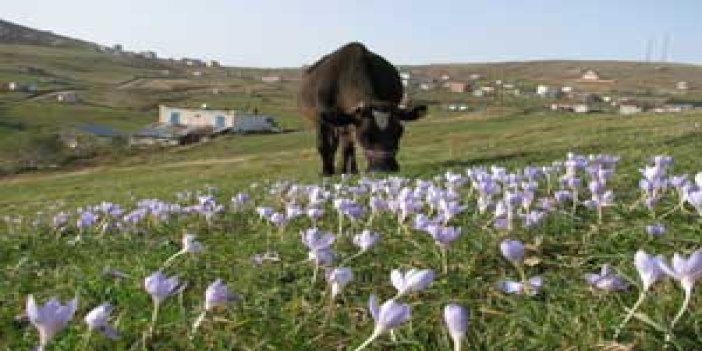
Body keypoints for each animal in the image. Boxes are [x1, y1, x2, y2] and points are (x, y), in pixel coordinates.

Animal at [298, 42, 426, 176]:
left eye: (399, 132)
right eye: (365, 134)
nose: (385, 168)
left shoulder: (348, 120)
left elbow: (348, 146)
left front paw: (345, 170)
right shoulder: (323, 119)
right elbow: (322, 144)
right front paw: (326, 171)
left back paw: (351, 169)